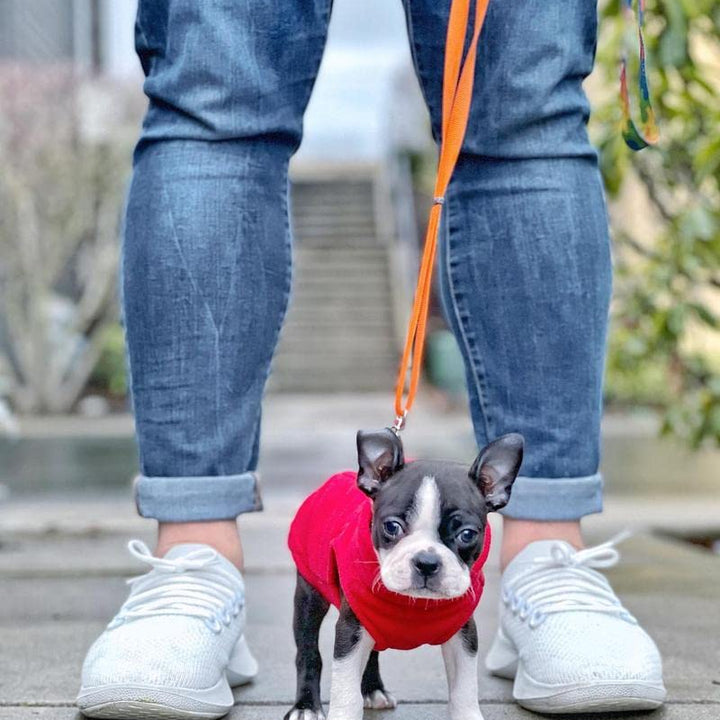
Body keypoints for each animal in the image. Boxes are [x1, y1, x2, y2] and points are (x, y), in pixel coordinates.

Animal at [286, 428, 524, 720]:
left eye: (467, 534)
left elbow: (464, 688)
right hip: (310, 596)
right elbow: (346, 692)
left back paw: (373, 690)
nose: (427, 562)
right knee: (308, 653)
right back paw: (306, 707)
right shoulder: (350, 628)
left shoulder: (464, 632)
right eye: (392, 527)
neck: (415, 604)